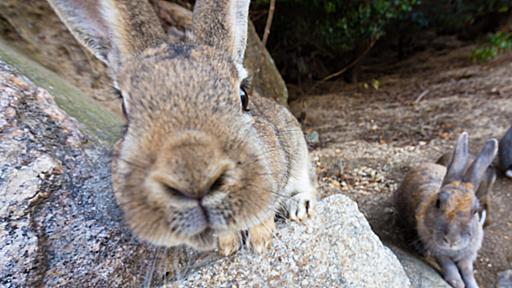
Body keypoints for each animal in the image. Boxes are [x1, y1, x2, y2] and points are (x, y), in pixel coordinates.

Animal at [50, 0, 318, 256]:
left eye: (243, 96)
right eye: (125, 110)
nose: (195, 182)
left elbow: (264, 212)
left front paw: (260, 242)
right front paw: (227, 246)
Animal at [394, 133, 498, 288]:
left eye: (475, 211)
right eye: (438, 202)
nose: (451, 240)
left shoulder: (469, 255)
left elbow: (468, 271)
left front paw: (472, 285)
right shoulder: (437, 250)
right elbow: (448, 264)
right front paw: (457, 283)